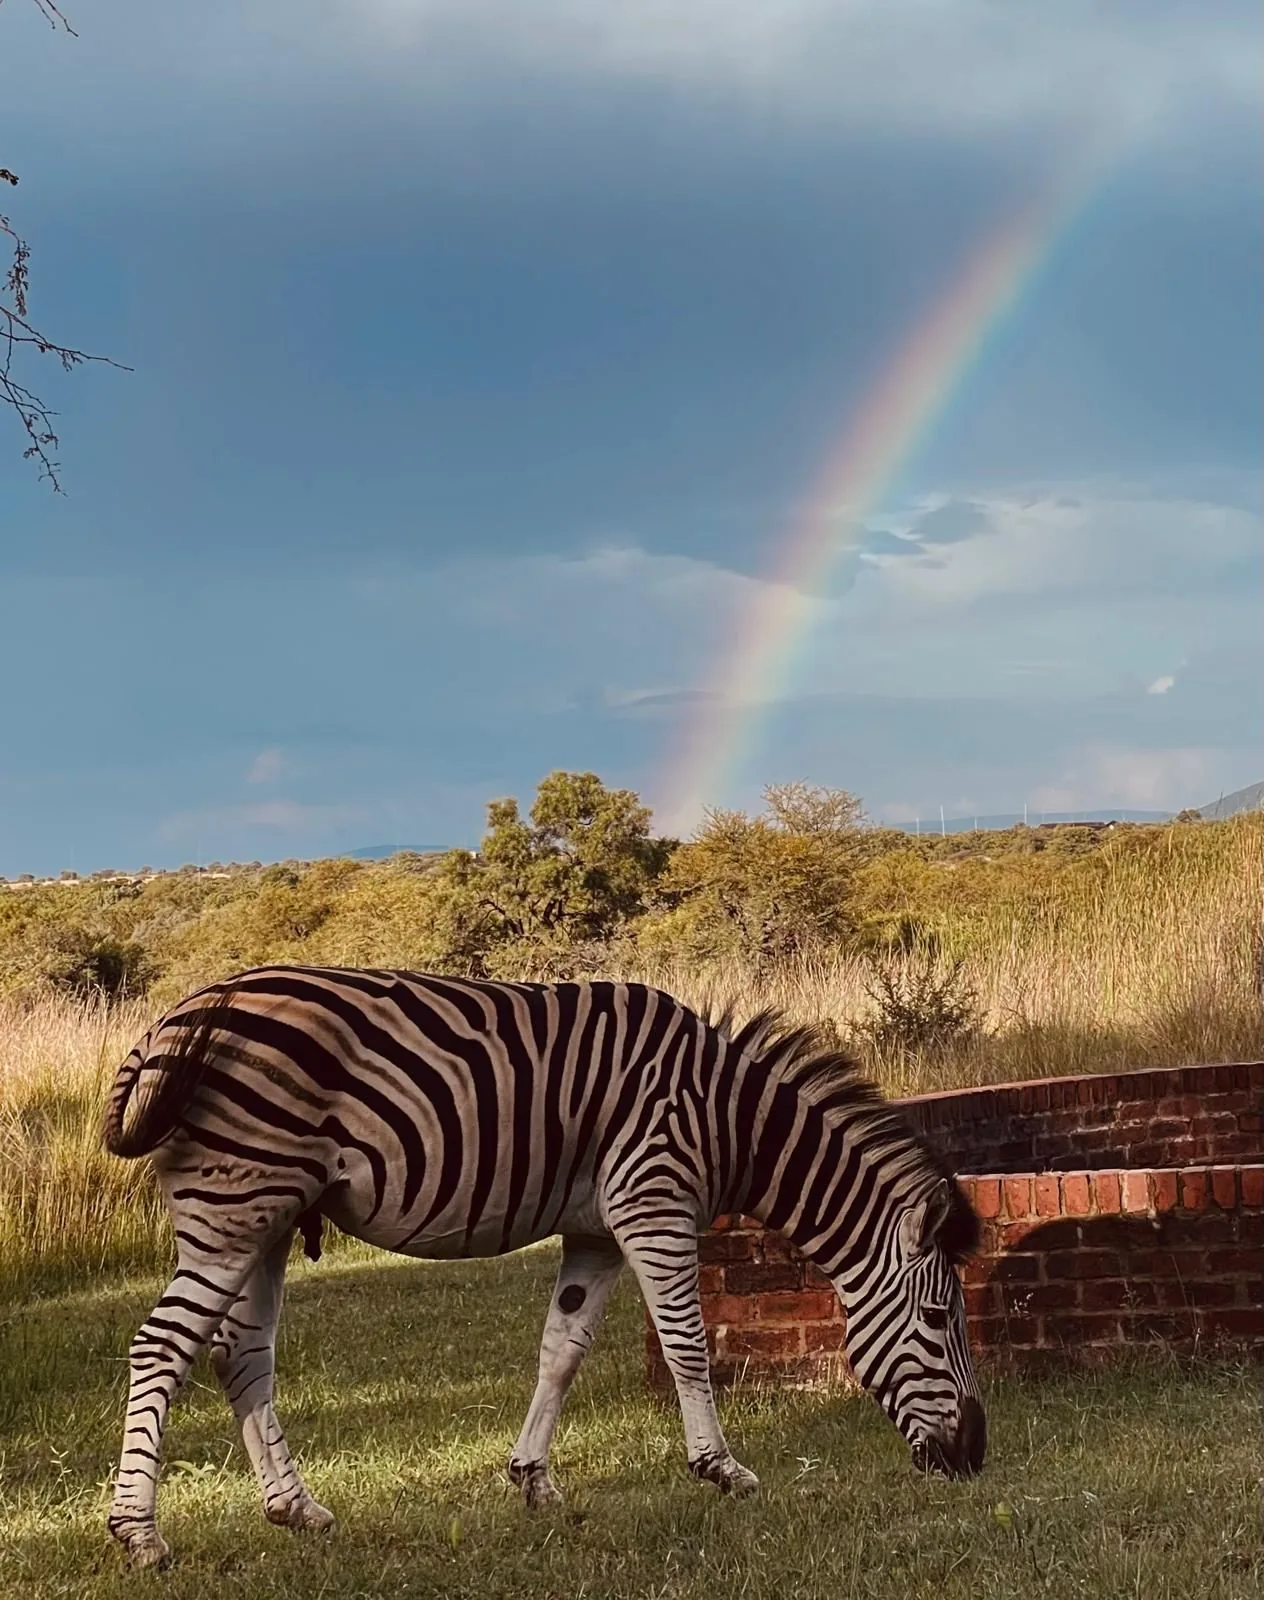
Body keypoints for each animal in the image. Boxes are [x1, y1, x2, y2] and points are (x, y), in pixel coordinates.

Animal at [102, 965, 985, 1568]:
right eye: (941, 1318)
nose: (975, 1458)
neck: (729, 1121)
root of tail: (170, 1022)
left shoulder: (596, 1232)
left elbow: (561, 1352)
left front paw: (533, 1480)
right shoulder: (654, 1202)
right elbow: (688, 1346)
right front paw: (722, 1468)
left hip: (269, 1215)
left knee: (239, 1353)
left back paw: (297, 1508)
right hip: (235, 1204)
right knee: (163, 1344)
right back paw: (139, 1533)